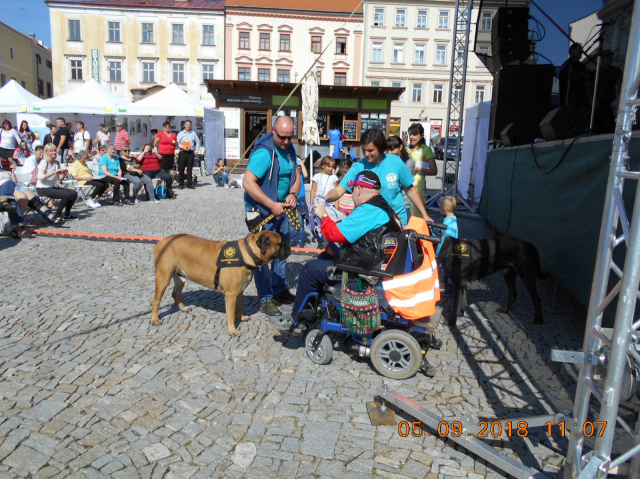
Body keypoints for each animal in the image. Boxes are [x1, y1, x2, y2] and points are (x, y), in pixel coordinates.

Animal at [151, 231, 291, 335]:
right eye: (280, 243)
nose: (289, 246)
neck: (248, 254)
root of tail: (162, 242)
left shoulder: (239, 292)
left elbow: (238, 307)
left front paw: (241, 318)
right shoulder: (230, 295)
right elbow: (230, 313)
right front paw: (232, 330)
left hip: (180, 278)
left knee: (176, 294)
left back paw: (183, 308)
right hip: (163, 278)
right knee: (156, 300)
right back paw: (155, 319)